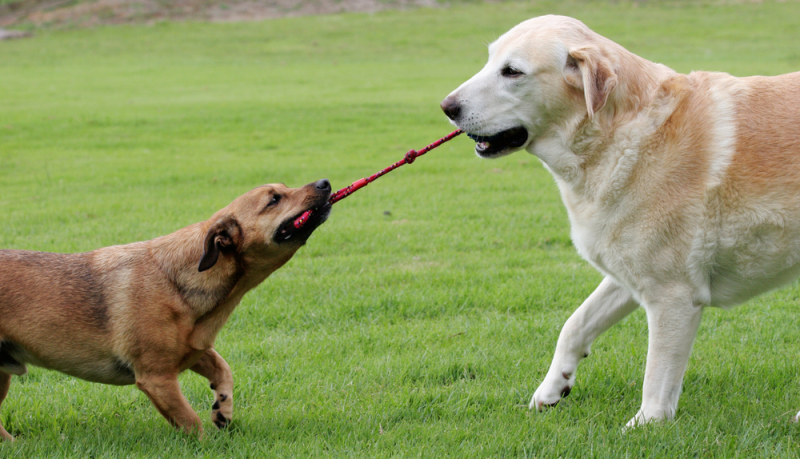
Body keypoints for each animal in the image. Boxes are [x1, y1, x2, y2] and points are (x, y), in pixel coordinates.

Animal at [0, 179, 332, 438]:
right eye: (274, 199)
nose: (325, 183)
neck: (177, 279)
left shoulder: (195, 350)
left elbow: (223, 370)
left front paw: (223, 409)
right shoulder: (157, 378)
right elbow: (191, 421)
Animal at [440, 14, 800, 430]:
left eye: (512, 71)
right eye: (489, 60)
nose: (446, 107)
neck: (622, 135)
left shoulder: (671, 296)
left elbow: (657, 378)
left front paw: (645, 426)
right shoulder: (625, 275)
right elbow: (574, 326)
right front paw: (553, 388)